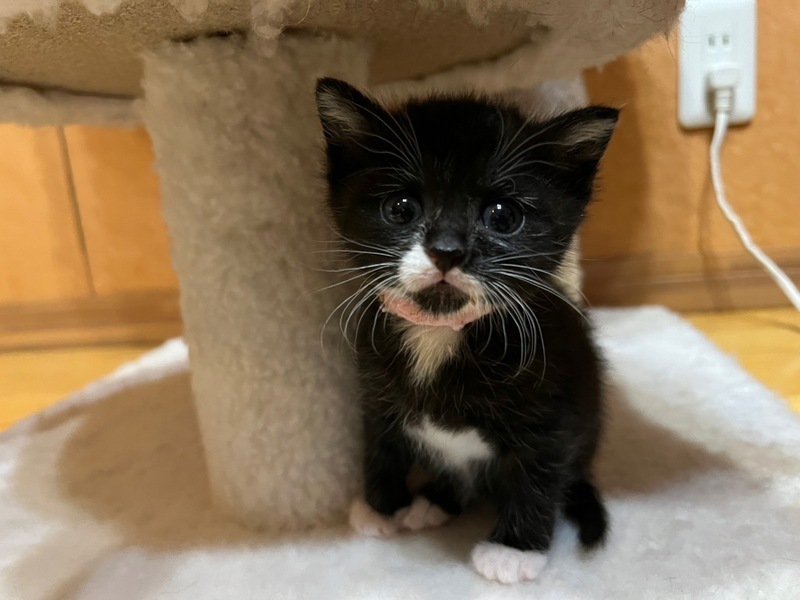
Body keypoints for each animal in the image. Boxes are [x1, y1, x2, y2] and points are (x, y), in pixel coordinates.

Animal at [315, 77, 618, 584]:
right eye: (401, 208)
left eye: (503, 216)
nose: (447, 250)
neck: (440, 333)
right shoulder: (373, 385)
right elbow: (379, 442)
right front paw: (382, 507)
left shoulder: (553, 404)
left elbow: (538, 471)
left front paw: (514, 550)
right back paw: (434, 501)